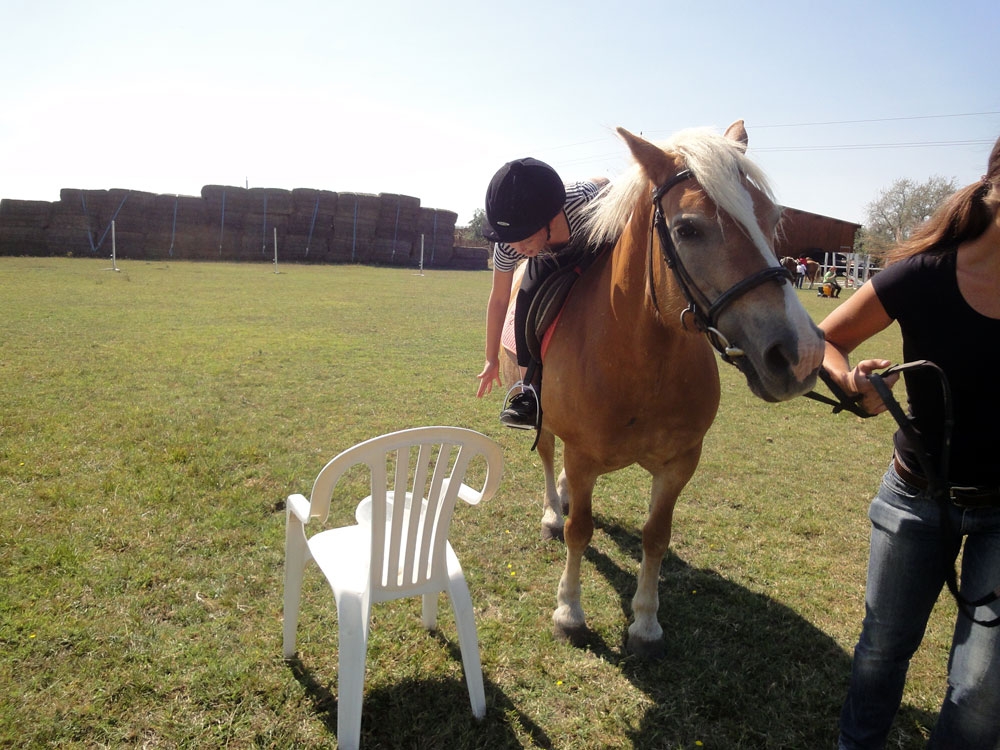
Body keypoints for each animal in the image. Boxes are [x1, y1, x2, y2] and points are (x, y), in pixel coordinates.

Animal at [498, 122, 820, 656]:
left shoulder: (679, 464)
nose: (803, 354)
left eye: (772, 218)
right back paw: (550, 511)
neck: (640, 360)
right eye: (688, 228)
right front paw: (569, 612)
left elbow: (656, 536)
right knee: (547, 457)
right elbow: (580, 531)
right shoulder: (582, 455)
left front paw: (646, 623)